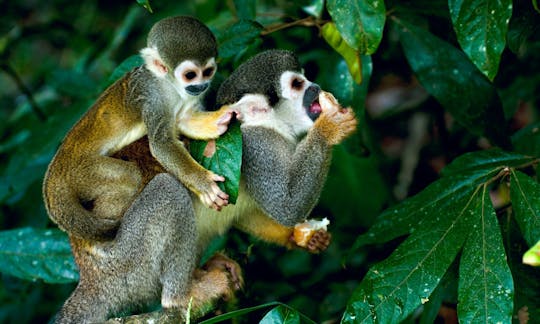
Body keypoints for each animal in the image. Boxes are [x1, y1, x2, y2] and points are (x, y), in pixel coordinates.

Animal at [42, 16, 234, 242]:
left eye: (208, 72)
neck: (168, 85)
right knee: (131, 176)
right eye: (190, 75)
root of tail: (57, 169)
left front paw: (219, 120)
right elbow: (161, 145)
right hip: (82, 173)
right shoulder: (151, 97)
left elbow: (183, 120)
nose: (201, 86)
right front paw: (203, 183)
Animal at [54, 49, 356, 322]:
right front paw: (329, 127)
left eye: (305, 78)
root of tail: (91, 278)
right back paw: (180, 296)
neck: (270, 125)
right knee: (168, 190)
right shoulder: (257, 147)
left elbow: (249, 213)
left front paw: (299, 236)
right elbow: (285, 206)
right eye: (297, 84)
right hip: (127, 265)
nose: (316, 87)